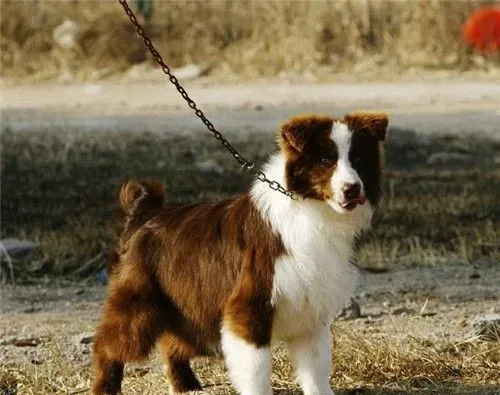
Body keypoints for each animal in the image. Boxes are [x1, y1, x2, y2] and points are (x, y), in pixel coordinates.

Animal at [93, 113, 390, 394]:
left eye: (358, 158)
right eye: (326, 159)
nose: (352, 189)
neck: (311, 210)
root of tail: (145, 216)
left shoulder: (312, 308)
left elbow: (316, 366)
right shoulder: (249, 303)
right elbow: (255, 367)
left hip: (190, 308)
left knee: (173, 342)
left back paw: (187, 385)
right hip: (141, 302)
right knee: (109, 345)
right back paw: (106, 387)